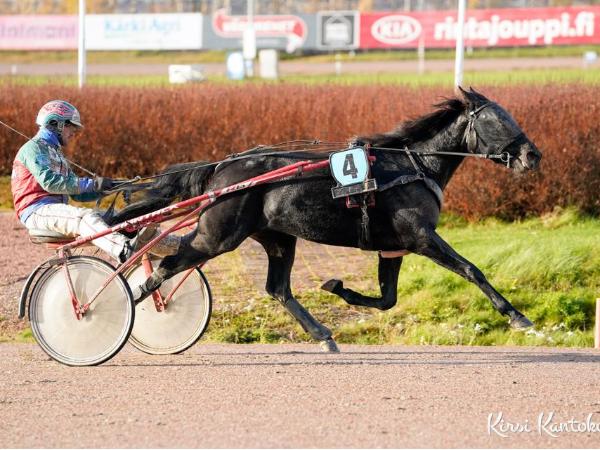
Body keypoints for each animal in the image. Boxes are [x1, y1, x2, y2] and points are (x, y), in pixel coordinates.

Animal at [111, 87, 542, 352]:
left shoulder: (392, 248)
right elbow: (471, 270)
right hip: (217, 235)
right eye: (498, 120)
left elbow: (387, 299)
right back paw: (125, 301)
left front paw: (338, 287)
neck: (412, 166)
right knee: (168, 261)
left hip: (277, 238)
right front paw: (518, 317)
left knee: (278, 288)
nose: (533, 155)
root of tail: (222, 168)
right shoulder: (420, 237)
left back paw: (322, 334)